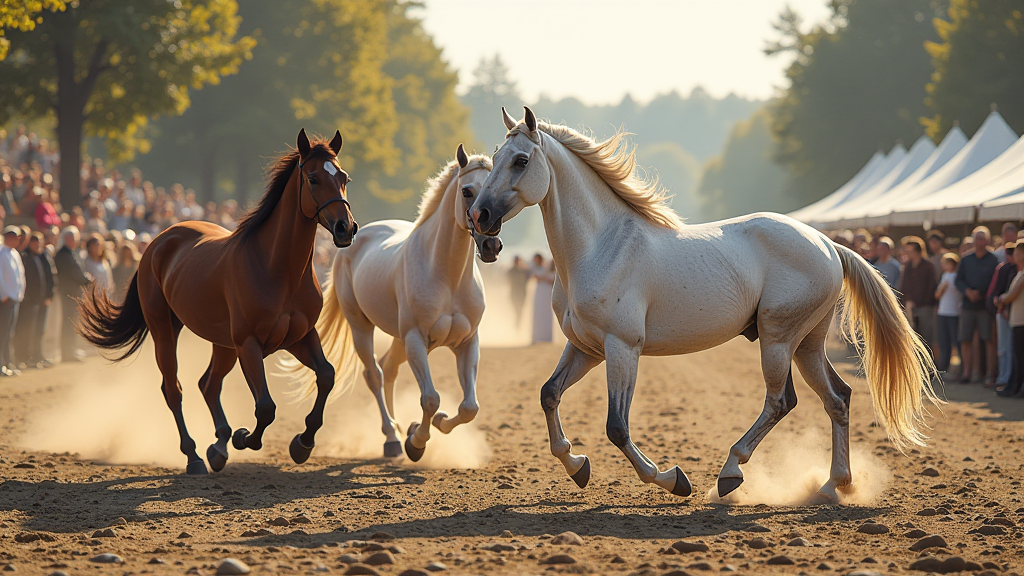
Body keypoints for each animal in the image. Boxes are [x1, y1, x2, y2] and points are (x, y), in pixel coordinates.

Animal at [76, 132, 356, 473]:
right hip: (165, 330)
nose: (346, 228)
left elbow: (326, 376)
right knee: (174, 389)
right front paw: (243, 437)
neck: (277, 268)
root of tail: (159, 241)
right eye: (313, 178)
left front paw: (302, 444)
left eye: (343, 178)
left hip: (223, 344)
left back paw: (218, 447)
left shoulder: (299, 337)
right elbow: (265, 407)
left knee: (207, 384)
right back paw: (195, 456)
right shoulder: (249, 343)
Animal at [284, 145, 495, 459]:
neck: (447, 275)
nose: (491, 244)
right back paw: (391, 438)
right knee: (375, 373)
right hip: (362, 328)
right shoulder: (416, 339)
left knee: (390, 369)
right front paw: (415, 443)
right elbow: (430, 399)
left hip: (399, 339)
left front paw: (435, 424)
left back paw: (397, 429)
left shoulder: (467, 342)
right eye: (467, 191)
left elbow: (470, 407)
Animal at [468, 107, 937, 502]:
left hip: (778, 339)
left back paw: (731, 474)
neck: (602, 246)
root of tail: (826, 243)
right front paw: (577, 466)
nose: (480, 216)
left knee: (780, 401)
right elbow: (549, 394)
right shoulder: (586, 347)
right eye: (494, 156)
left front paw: (673, 479)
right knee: (837, 398)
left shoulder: (623, 347)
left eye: (521, 161)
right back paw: (833, 486)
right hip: (807, 343)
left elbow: (617, 427)